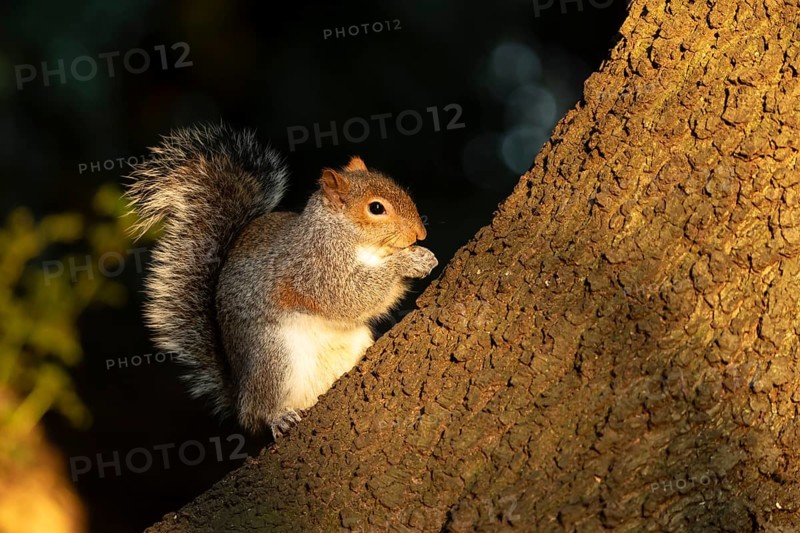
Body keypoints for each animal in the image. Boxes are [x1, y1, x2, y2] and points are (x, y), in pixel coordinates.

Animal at [125, 123, 438, 438]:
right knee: (260, 411)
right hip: (274, 357)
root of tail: (239, 394)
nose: (420, 233)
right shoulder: (314, 271)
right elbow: (350, 296)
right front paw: (409, 262)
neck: (344, 236)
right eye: (376, 208)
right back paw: (278, 417)